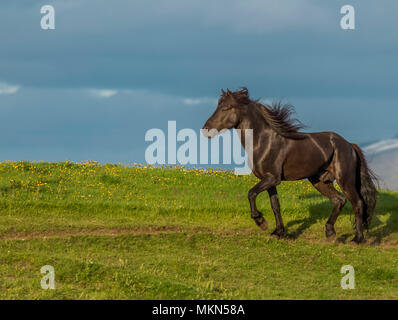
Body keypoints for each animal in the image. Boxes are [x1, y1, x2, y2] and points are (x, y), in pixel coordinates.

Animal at [202, 87, 376, 242]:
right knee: (338, 200)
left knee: (357, 203)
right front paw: (279, 233)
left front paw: (261, 222)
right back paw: (330, 233)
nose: (205, 130)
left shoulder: (272, 178)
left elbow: (251, 193)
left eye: (226, 108)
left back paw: (357, 239)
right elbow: (275, 206)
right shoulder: (269, 181)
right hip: (319, 181)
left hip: (345, 180)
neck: (263, 141)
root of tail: (349, 145)